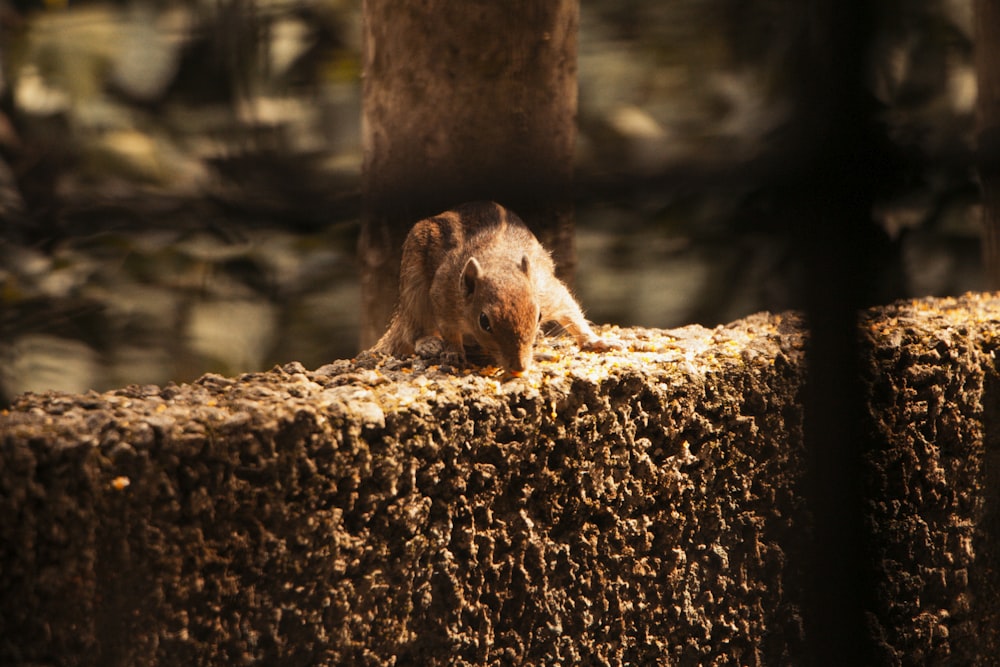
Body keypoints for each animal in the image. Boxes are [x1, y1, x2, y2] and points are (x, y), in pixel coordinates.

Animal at [372, 201, 612, 376]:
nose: (519, 368)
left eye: (538, 316)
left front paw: (596, 341)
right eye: (484, 322)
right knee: (413, 328)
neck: (498, 261)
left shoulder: (548, 290)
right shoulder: (443, 295)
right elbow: (449, 330)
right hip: (413, 287)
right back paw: (429, 343)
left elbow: (572, 313)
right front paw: (454, 352)